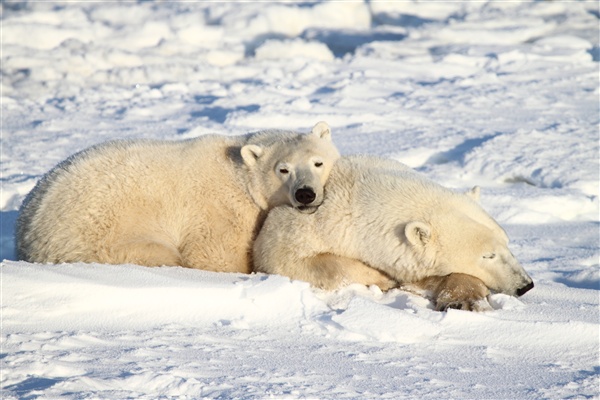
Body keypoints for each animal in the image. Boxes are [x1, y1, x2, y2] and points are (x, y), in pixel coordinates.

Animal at [15, 121, 342, 272]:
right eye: (283, 169)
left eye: (317, 162)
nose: (305, 194)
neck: (239, 171)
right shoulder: (218, 209)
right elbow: (214, 255)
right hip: (103, 238)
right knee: (159, 254)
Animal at [253, 155, 536, 310]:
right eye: (487, 256)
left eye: (507, 244)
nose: (525, 285)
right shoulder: (307, 219)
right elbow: (279, 254)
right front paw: (383, 278)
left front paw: (463, 300)